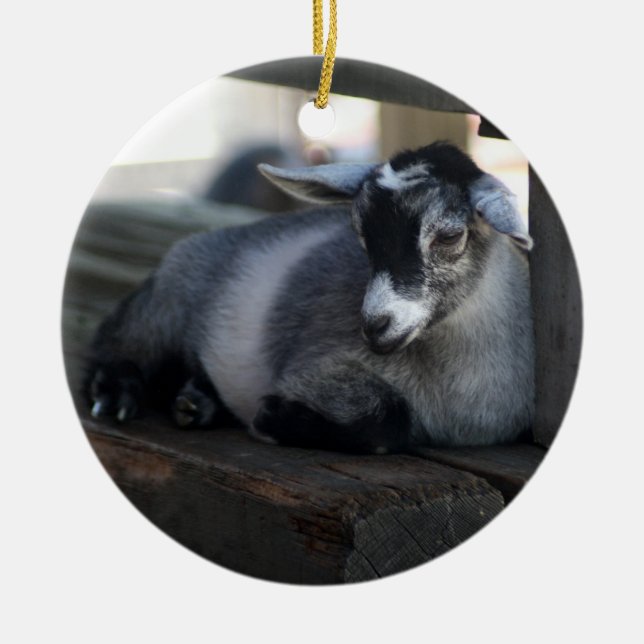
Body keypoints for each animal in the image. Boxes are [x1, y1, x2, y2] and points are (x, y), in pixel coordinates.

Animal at [86, 142, 535, 453]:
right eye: (360, 233)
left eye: (450, 236)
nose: (375, 325)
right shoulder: (317, 367)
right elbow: (388, 423)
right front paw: (273, 418)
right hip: (168, 298)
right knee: (117, 338)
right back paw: (118, 395)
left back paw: (197, 402)